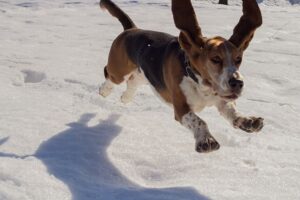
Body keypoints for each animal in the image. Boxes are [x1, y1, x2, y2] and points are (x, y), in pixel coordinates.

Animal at [98, 0, 262, 152]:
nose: (238, 83)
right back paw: (104, 91)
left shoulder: (222, 100)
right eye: (215, 59)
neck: (202, 86)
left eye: (238, 59)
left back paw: (126, 97)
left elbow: (232, 111)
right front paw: (206, 139)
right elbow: (199, 121)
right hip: (118, 71)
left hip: (142, 74)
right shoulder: (181, 108)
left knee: (132, 82)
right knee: (109, 74)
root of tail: (132, 29)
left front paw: (247, 121)